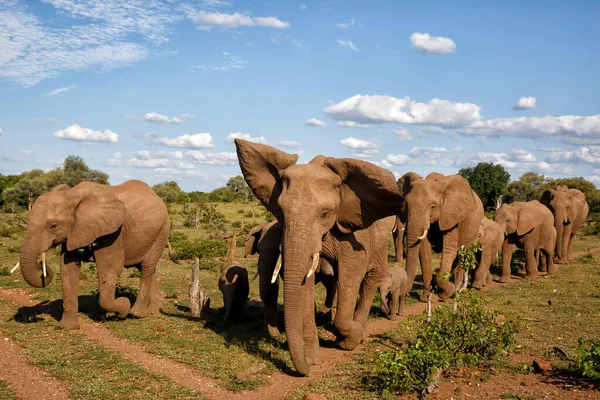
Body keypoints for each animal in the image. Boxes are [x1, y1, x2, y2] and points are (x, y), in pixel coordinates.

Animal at [18, 180, 171, 328]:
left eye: (53, 226)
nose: (41, 263)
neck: (73, 194)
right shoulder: (75, 231)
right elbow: (68, 269)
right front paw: (67, 327)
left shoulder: (113, 233)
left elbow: (110, 270)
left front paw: (124, 307)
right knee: (148, 269)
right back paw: (154, 310)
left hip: (161, 232)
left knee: (147, 266)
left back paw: (135, 313)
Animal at [234, 139, 404, 376]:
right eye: (281, 212)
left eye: (325, 213)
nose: (304, 371)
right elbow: (306, 283)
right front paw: (314, 359)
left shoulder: (355, 234)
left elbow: (351, 275)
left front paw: (348, 339)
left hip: (380, 243)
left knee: (370, 280)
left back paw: (357, 333)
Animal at [400, 171, 486, 300]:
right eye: (406, 204)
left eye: (433, 206)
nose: (404, 294)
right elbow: (424, 252)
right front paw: (427, 298)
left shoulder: (452, 215)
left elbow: (449, 250)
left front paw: (445, 293)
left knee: (462, 254)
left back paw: (456, 290)